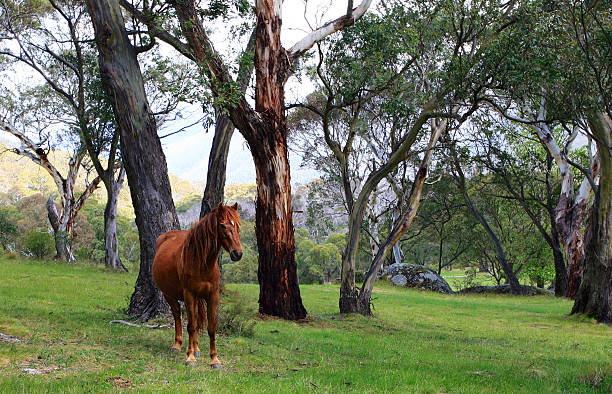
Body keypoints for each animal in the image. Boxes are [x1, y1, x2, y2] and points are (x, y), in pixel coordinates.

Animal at [152, 203, 243, 366]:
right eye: (222, 225)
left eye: (238, 225)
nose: (237, 253)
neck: (201, 263)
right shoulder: (189, 295)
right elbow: (191, 326)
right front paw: (190, 357)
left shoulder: (213, 296)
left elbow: (211, 327)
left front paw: (214, 359)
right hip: (169, 295)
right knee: (177, 316)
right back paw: (177, 345)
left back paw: (196, 348)